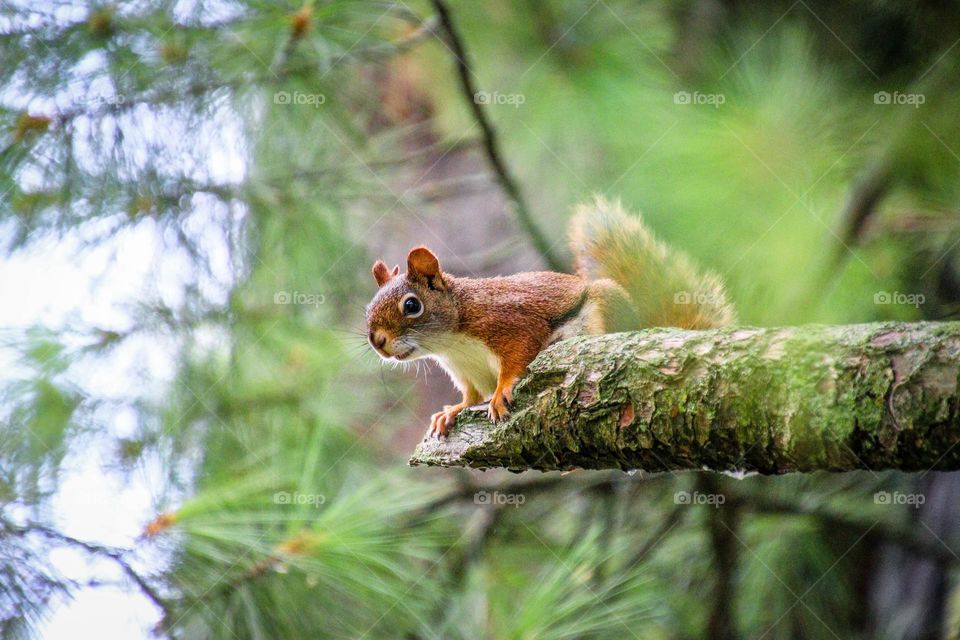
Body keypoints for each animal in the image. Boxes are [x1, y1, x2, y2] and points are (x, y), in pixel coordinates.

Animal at [364, 198, 732, 438]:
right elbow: (471, 397)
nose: (377, 342)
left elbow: (516, 358)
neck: (453, 341)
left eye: (412, 305)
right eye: (368, 309)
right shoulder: (467, 373)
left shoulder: (509, 324)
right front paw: (450, 412)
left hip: (603, 307)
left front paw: (501, 392)